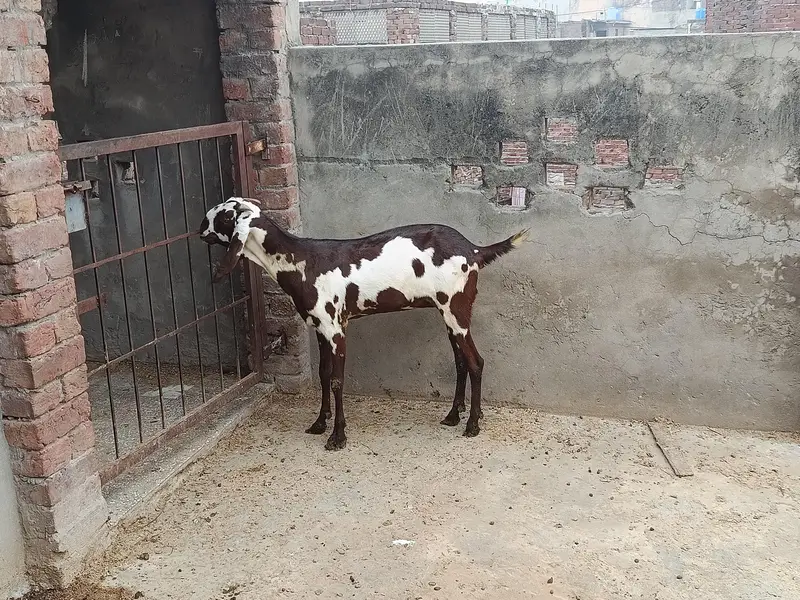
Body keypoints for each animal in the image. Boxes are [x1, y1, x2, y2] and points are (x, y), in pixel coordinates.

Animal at [199, 197, 527, 450]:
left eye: (225, 215)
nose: (201, 228)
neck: (301, 261)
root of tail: (474, 250)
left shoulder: (336, 328)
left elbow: (336, 380)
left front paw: (338, 437)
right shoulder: (320, 329)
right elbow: (323, 375)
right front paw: (319, 423)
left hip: (456, 310)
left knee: (475, 362)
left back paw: (472, 424)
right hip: (448, 314)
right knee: (460, 362)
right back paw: (453, 415)